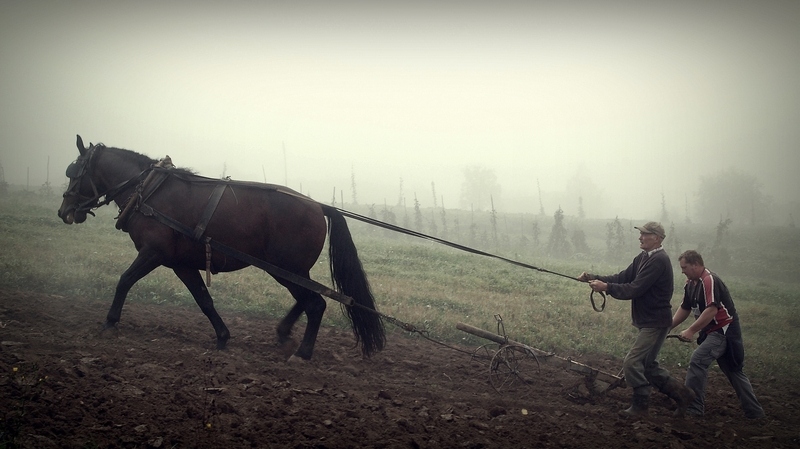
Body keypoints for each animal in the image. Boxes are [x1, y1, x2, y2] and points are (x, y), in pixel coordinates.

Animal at [57, 135, 384, 358]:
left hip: (286, 267)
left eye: (74, 172)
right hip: (289, 269)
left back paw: (302, 353)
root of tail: (318, 205)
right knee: (308, 300)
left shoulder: (153, 252)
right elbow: (204, 300)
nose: (64, 211)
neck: (149, 193)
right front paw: (223, 336)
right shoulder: (181, 263)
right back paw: (284, 334)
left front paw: (110, 322)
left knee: (315, 304)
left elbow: (124, 280)